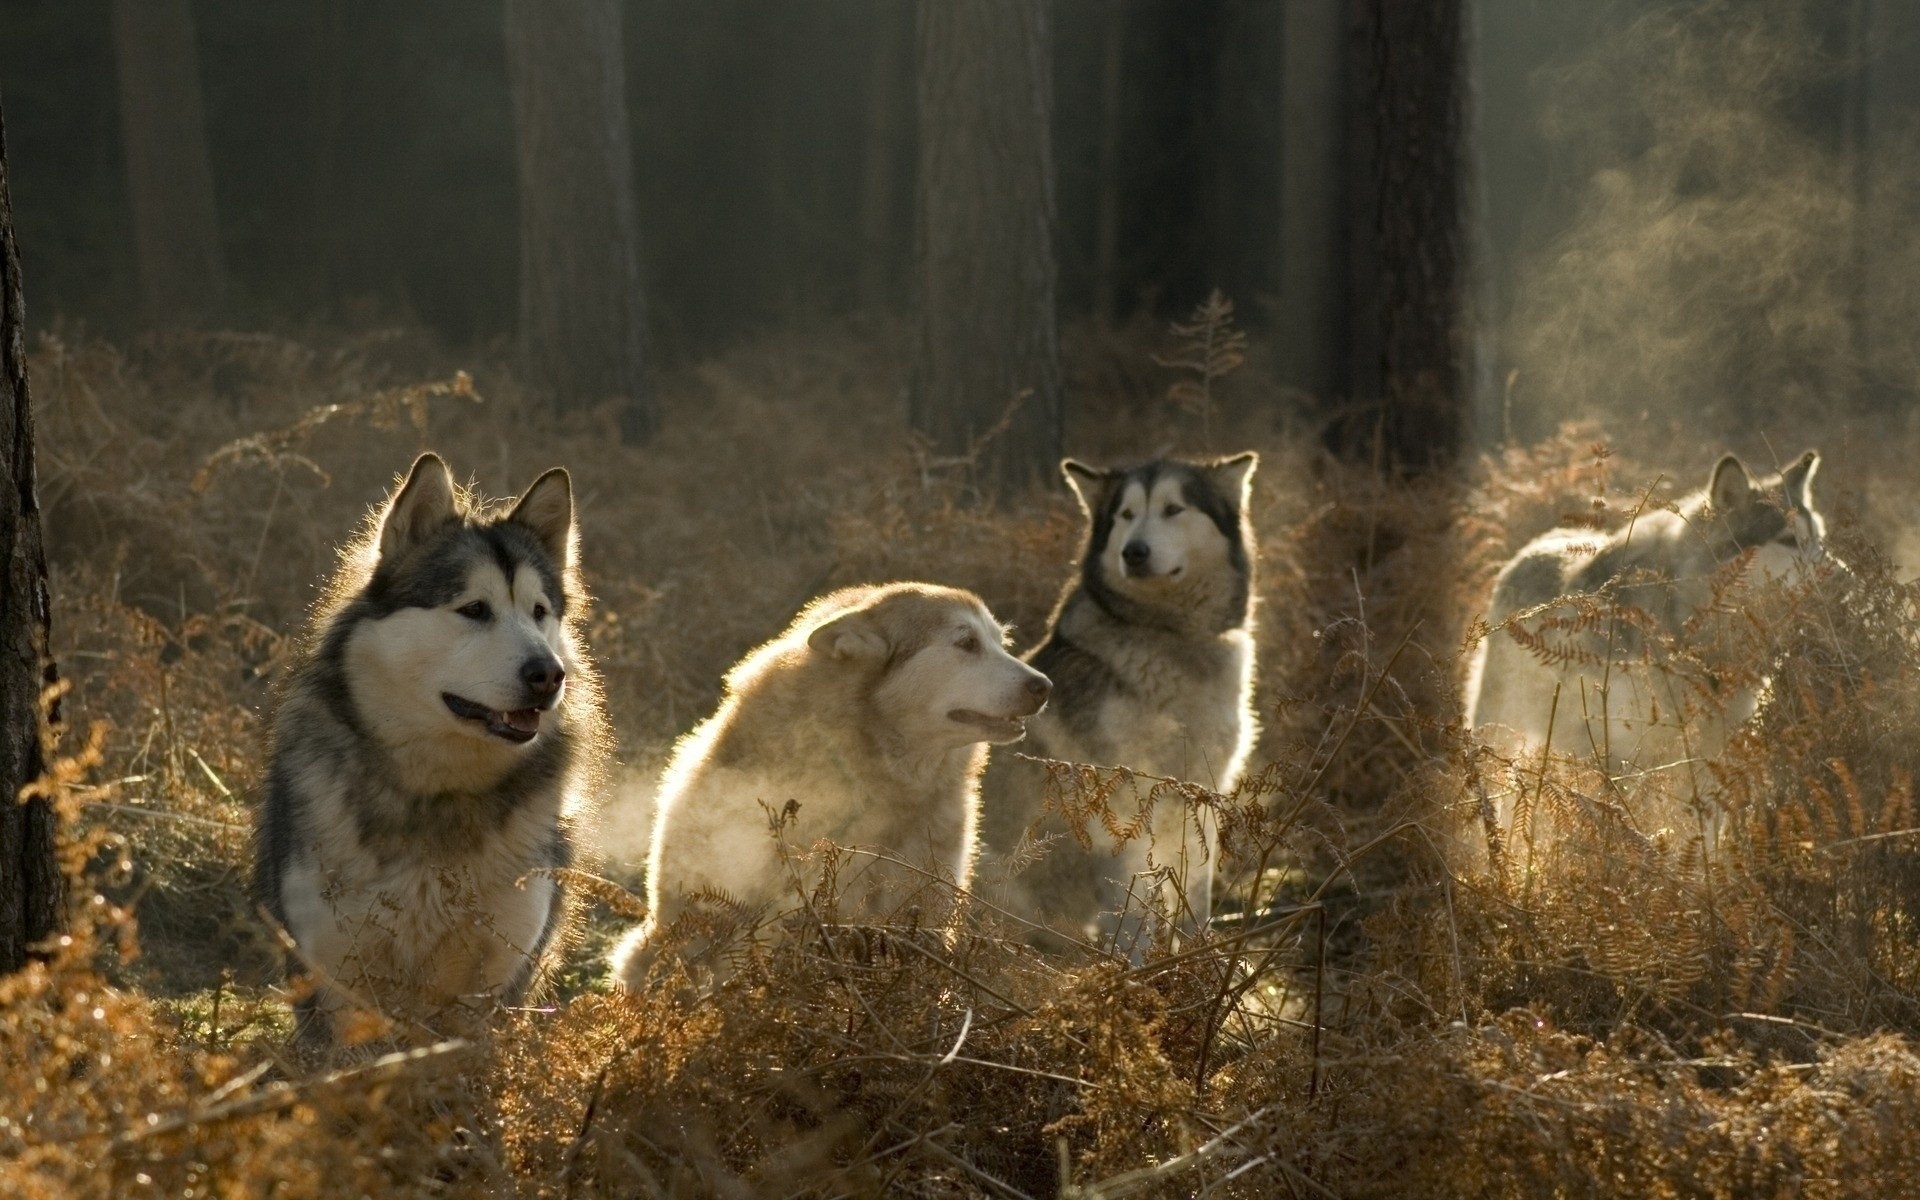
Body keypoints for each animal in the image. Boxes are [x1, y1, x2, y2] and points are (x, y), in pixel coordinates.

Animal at [975, 449, 1259, 944]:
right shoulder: (1121, 808)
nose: (1134, 552)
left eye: (1173, 509)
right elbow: (1132, 920)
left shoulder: (1199, 801)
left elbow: (1195, 902)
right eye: (1126, 515)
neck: (1167, 635)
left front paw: (1196, 955)